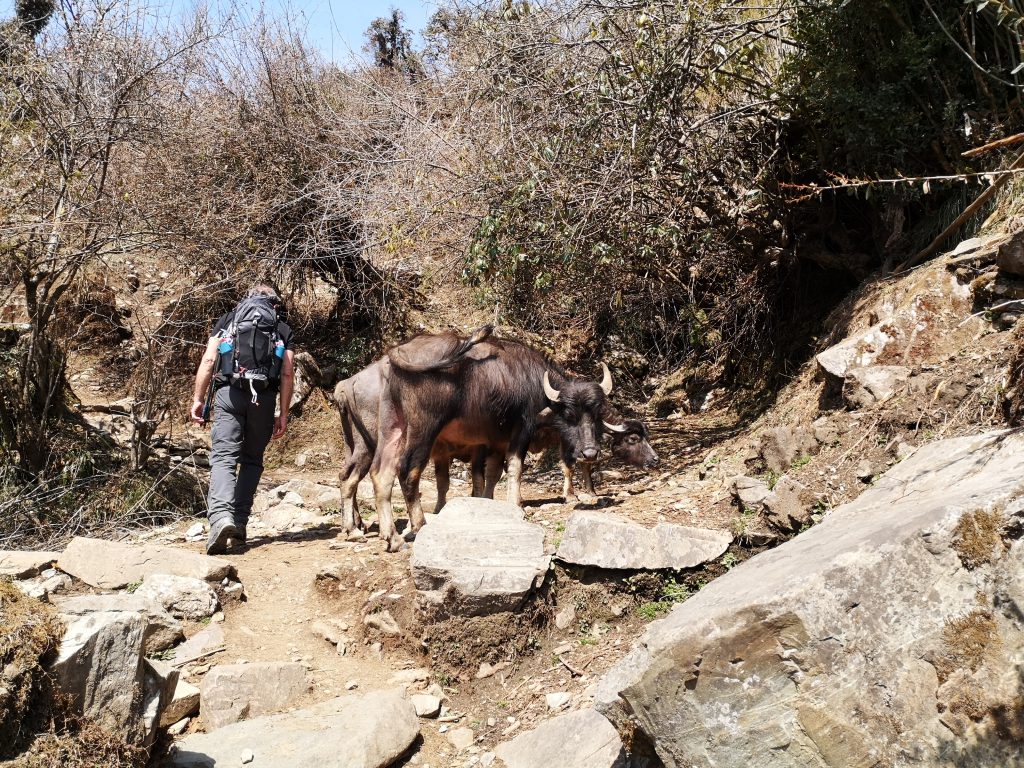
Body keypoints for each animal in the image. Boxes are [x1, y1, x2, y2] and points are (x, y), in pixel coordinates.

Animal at [372, 331, 614, 552]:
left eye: (597, 413)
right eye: (569, 415)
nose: (590, 453)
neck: (536, 383)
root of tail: (401, 349)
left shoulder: (497, 441)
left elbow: (493, 473)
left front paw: (488, 503)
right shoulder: (522, 431)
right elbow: (515, 468)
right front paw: (516, 505)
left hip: (393, 428)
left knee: (381, 474)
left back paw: (393, 538)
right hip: (424, 429)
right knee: (408, 471)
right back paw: (419, 524)